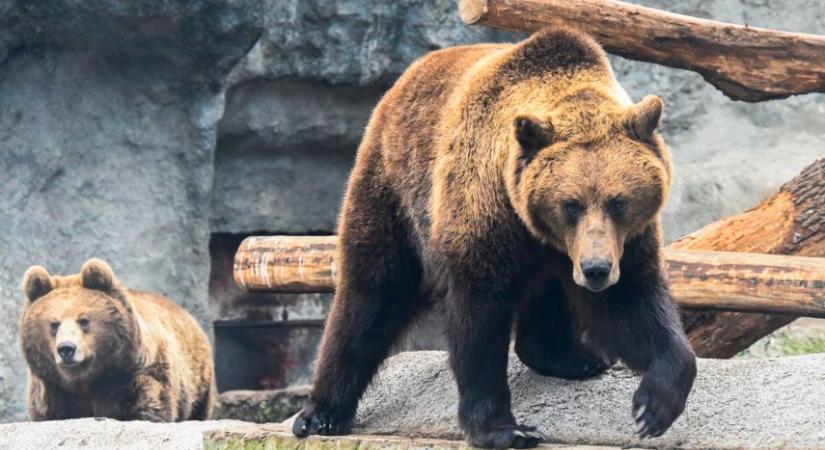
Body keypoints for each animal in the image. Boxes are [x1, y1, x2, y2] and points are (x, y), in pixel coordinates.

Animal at [19, 258, 216, 420]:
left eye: (83, 320)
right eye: (54, 324)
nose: (66, 348)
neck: (85, 380)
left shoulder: (133, 377)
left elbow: (147, 406)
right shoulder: (52, 390)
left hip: (198, 379)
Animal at [292, 29, 692, 450]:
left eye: (618, 202)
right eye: (571, 203)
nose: (595, 269)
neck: (533, 225)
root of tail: (405, 78)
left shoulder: (624, 241)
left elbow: (633, 302)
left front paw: (654, 405)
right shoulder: (483, 211)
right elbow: (478, 316)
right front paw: (505, 428)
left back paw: (573, 357)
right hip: (393, 186)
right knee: (373, 290)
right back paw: (321, 413)